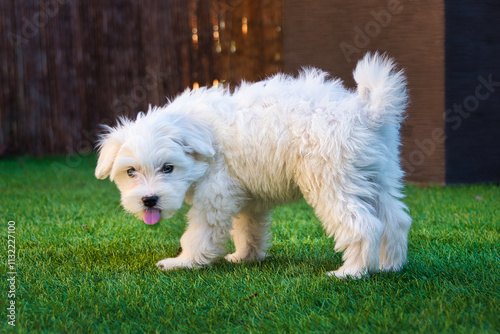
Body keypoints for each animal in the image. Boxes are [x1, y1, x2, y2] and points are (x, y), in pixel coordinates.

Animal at [95, 52, 412, 276]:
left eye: (168, 168)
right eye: (131, 172)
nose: (149, 200)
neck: (202, 135)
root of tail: (365, 112)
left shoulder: (216, 195)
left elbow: (199, 232)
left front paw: (184, 262)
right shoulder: (247, 195)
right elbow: (248, 227)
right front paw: (245, 256)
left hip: (333, 182)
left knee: (364, 225)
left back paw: (352, 271)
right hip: (378, 177)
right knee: (395, 220)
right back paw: (389, 266)